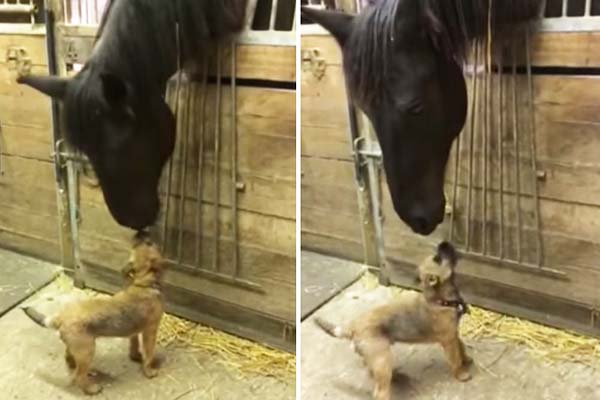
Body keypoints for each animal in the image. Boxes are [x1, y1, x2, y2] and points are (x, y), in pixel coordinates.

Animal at [22, 233, 165, 396]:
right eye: (150, 244)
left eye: (145, 244)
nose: (142, 235)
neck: (143, 284)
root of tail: (61, 318)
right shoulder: (150, 331)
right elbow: (149, 352)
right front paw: (149, 371)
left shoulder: (135, 331)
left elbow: (134, 345)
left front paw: (136, 357)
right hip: (87, 351)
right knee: (78, 376)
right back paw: (92, 389)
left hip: (76, 349)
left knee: (70, 361)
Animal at [314, 241, 474, 400]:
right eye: (438, 259)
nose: (444, 243)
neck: (439, 301)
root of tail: (353, 327)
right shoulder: (448, 341)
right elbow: (455, 359)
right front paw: (461, 373)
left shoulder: (454, 335)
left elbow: (461, 348)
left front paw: (466, 359)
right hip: (382, 360)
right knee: (380, 392)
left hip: (376, 359)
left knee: (371, 369)